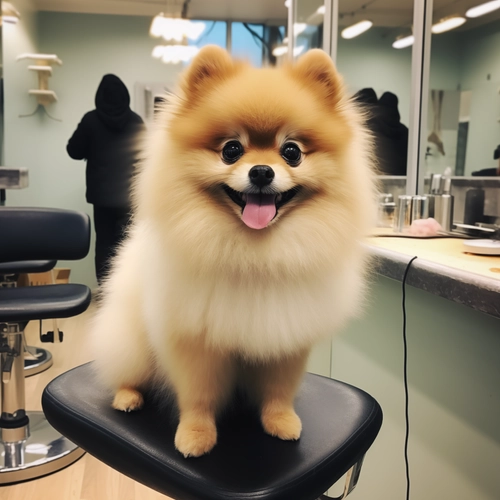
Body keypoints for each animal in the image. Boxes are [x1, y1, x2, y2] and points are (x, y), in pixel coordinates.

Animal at [91, 46, 376, 458]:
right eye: (231, 150)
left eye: (292, 152)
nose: (261, 171)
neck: (254, 252)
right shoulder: (195, 339)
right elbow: (199, 393)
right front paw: (195, 434)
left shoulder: (285, 333)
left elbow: (279, 389)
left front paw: (280, 421)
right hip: (133, 344)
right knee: (126, 370)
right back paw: (127, 397)